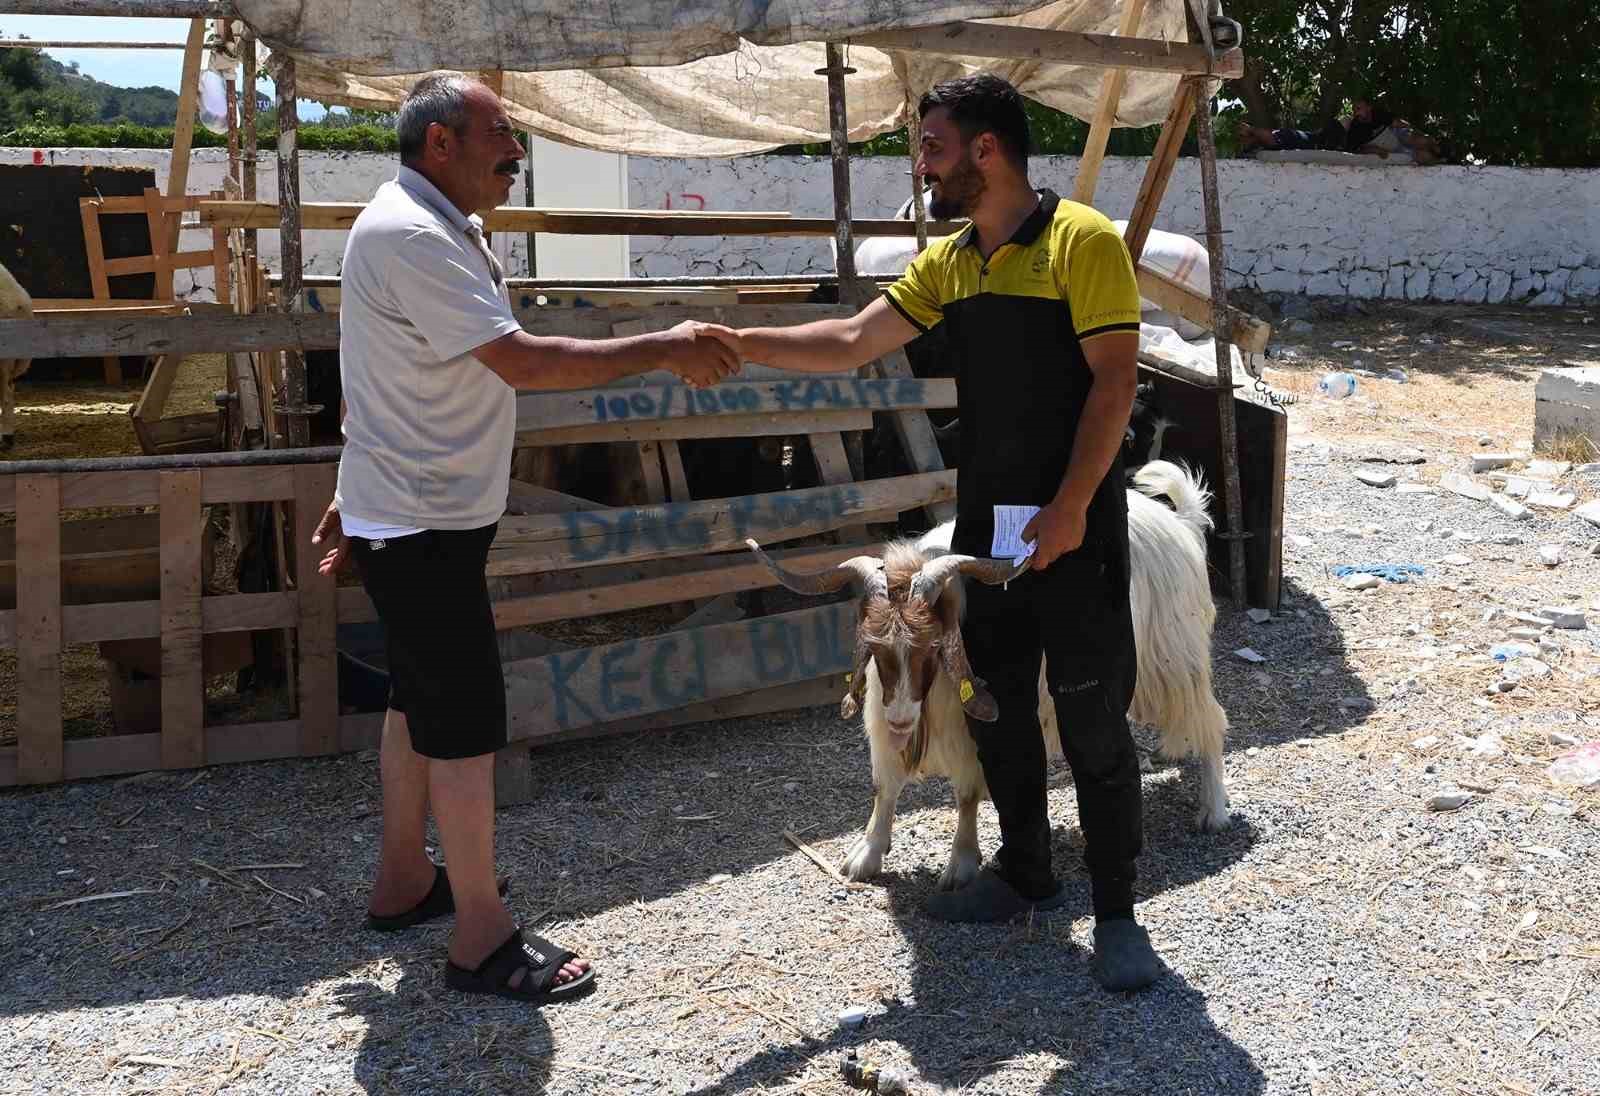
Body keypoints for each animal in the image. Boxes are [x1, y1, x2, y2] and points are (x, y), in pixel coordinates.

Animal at [742, 460, 1228, 889]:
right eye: (875, 646)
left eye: (933, 646)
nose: (901, 719)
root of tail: (1181, 525)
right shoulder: (883, 724)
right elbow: (885, 786)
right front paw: (867, 854)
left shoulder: (972, 731)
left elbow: (967, 795)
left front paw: (960, 864)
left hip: (1175, 661)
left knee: (1211, 720)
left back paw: (1213, 810)